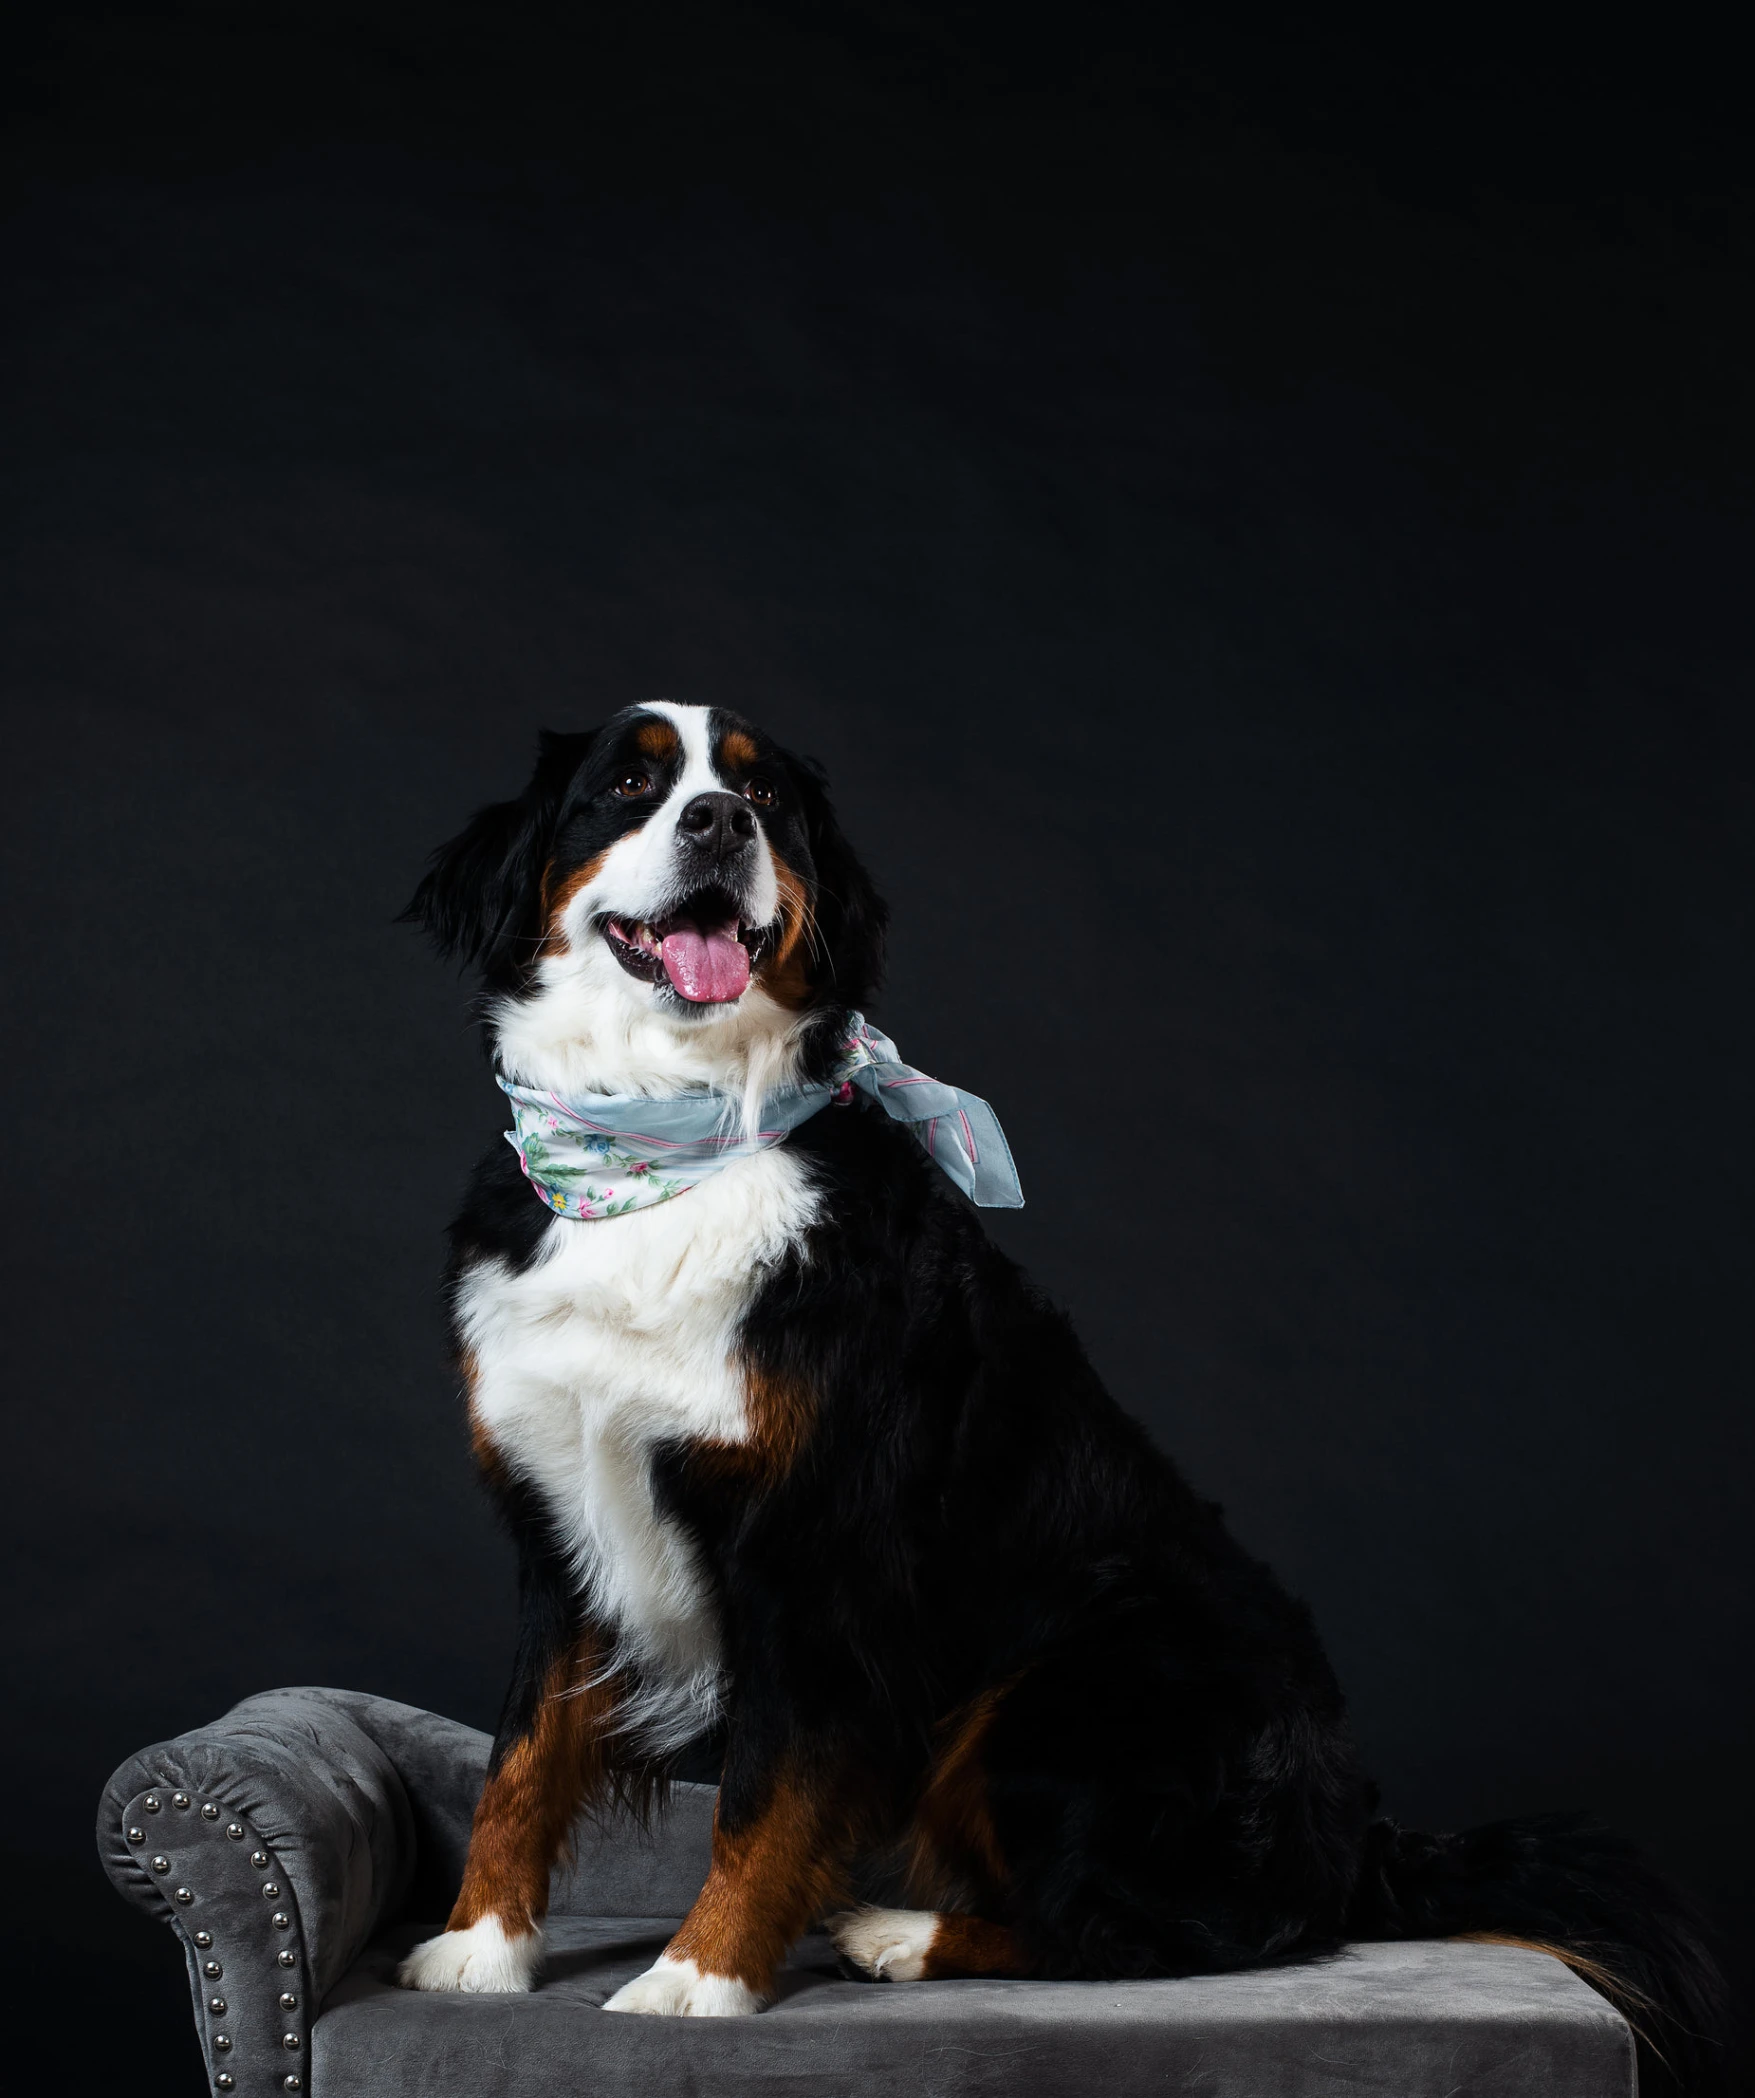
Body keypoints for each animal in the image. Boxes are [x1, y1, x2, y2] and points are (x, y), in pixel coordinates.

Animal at [394, 700, 1727, 2081]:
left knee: (1156, 1933)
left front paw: (697, 1978)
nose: (718, 823)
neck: (667, 1143)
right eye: (632, 784)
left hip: (1064, 1688)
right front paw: (480, 1947)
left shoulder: (815, 1557)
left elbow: (760, 1798)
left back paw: (904, 1935)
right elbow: (518, 1763)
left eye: (762, 800)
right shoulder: (562, 1527)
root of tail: (1355, 1831)